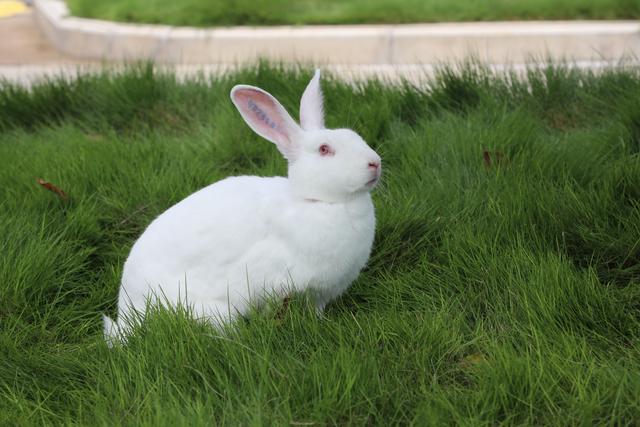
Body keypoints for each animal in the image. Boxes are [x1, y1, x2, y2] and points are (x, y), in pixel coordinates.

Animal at [104, 71, 380, 344]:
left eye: (355, 136)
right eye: (324, 149)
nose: (375, 163)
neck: (315, 201)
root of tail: (126, 313)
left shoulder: (320, 296)